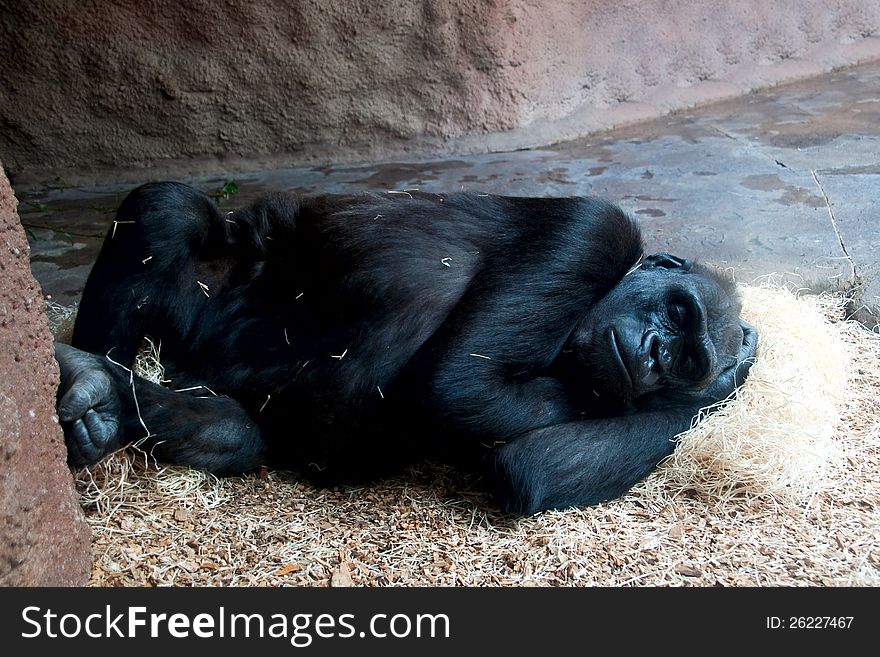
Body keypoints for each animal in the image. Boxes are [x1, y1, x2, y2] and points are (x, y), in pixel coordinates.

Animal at [55, 182, 756, 516]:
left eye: (687, 360)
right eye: (678, 312)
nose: (653, 353)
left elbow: (529, 467)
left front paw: (721, 381)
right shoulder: (593, 235)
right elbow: (460, 389)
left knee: (233, 432)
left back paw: (109, 405)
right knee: (168, 210)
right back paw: (84, 385)